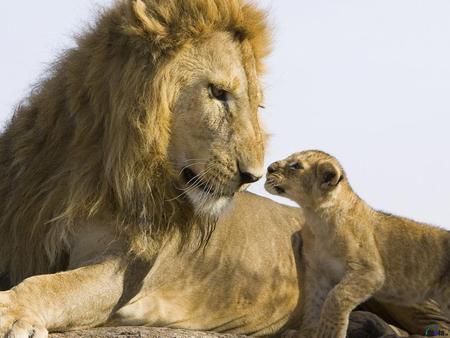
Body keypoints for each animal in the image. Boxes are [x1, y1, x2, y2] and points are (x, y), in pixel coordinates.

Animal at [0, 0, 448, 338]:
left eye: (257, 104)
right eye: (218, 93)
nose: (253, 175)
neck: (97, 168)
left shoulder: (122, 269)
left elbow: (55, 284)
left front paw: (10, 311)